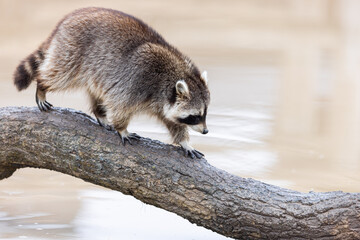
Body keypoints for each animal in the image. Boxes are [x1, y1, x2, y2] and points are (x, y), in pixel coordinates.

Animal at [14, 6, 210, 158]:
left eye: (204, 114)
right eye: (195, 116)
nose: (206, 131)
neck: (169, 80)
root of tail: (67, 19)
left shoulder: (163, 101)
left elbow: (173, 123)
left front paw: (184, 142)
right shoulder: (137, 81)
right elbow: (120, 106)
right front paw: (122, 128)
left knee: (97, 92)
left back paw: (99, 113)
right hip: (72, 52)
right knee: (59, 75)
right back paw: (42, 85)